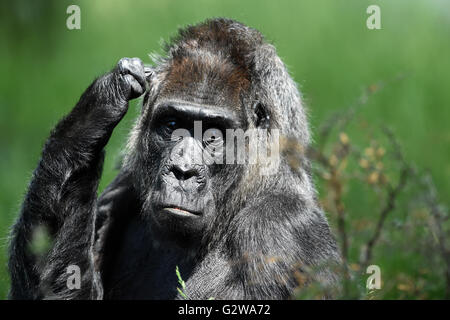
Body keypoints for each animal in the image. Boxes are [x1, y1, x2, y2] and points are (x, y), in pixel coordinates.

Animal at [7, 18, 340, 300]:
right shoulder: (123, 186)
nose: (182, 172)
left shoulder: (278, 228)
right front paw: (94, 113)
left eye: (212, 135)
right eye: (171, 125)